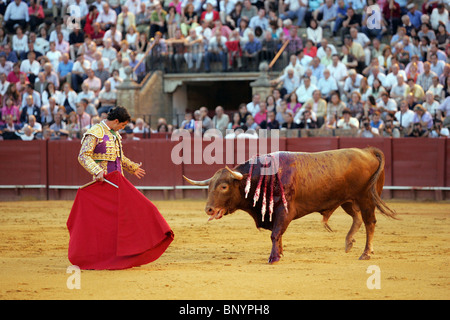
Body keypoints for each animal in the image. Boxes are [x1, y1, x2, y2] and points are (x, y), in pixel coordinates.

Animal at [185, 147, 396, 262]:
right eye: (210, 185)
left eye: (223, 186)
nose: (208, 209)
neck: (262, 176)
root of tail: (368, 151)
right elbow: (277, 235)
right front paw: (280, 253)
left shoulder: (283, 212)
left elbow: (275, 234)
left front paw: (273, 258)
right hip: (347, 200)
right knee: (357, 218)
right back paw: (349, 242)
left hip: (366, 198)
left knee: (370, 222)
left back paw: (366, 253)